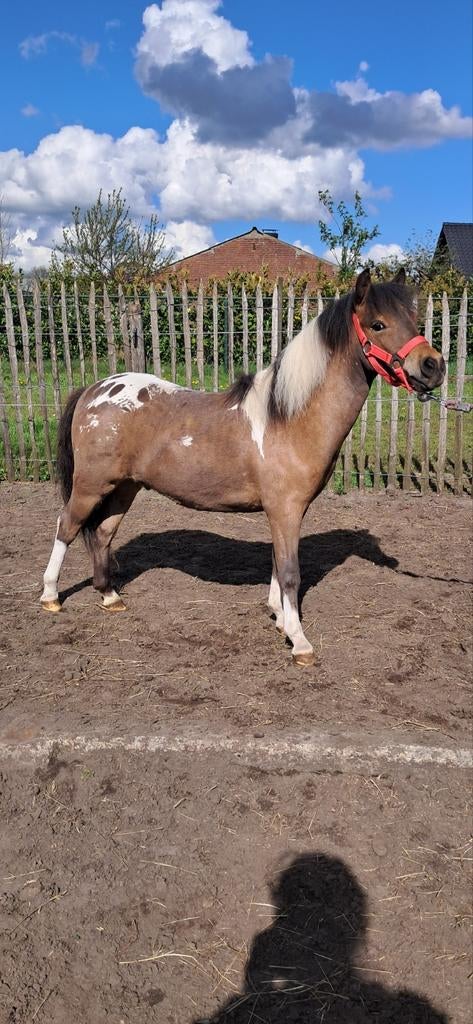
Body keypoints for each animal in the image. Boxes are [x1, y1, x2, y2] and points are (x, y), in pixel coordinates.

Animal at [40, 269, 445, 666]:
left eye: (413, 319)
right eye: (378, 324)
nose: (433, 365)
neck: (289, 417)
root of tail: (94, 389)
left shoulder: (285, 511)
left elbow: (278, 565)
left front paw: (279, 618)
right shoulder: (284, 509)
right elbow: (290, 573)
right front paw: (299, 641)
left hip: (125, 486)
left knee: (102, 533)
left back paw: (109, 596)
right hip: (90, 485)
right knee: (67, 526)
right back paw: (50, 596)